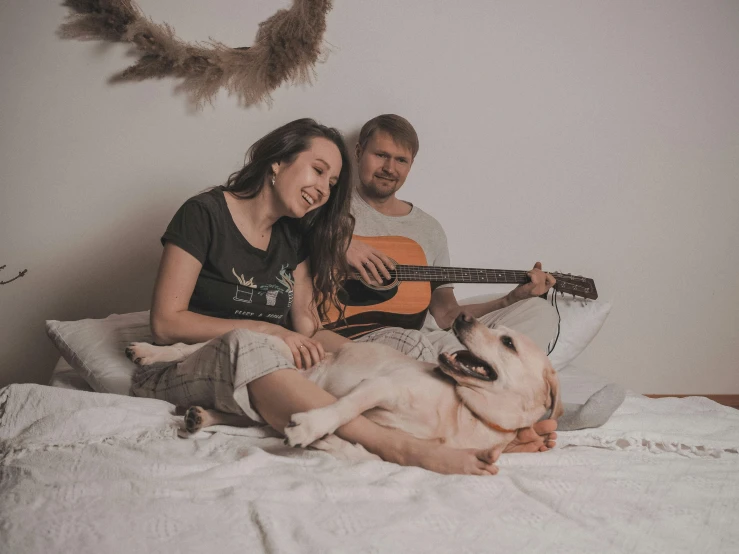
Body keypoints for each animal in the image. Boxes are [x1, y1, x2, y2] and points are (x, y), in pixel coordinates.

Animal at [129, 312, 560, 464]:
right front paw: (312, 428)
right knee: (190, 347)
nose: (465, 316)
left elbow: (366, 451)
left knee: (242, 414)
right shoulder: (381, 385)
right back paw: (148, 352)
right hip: (271, 346)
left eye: (508, 342)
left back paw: (200, 416)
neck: (464, 411)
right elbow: (343, 411)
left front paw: (327, 442)